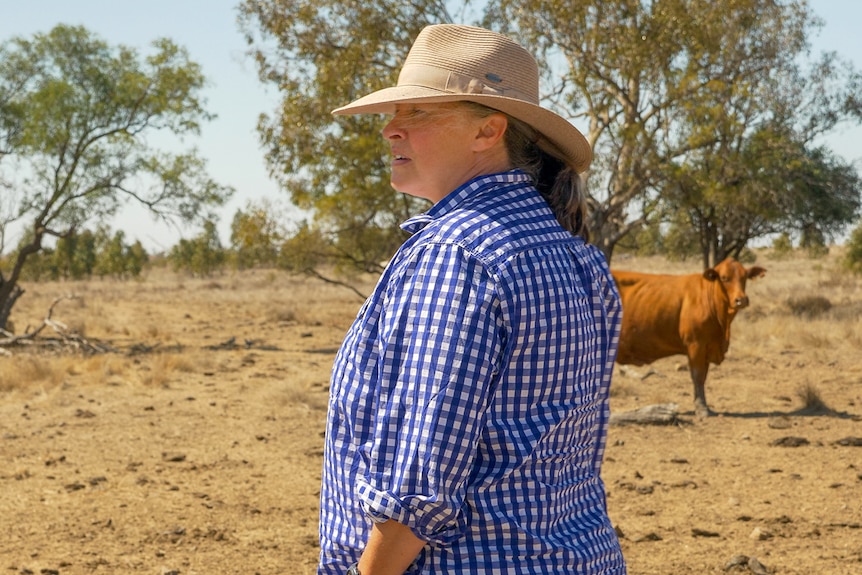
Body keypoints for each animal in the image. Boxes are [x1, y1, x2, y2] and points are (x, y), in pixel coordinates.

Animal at [616, 258, 768, 416]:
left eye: (744, 277)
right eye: (724, 278)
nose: (741, 300)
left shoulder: (707, 346)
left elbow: (703, 376)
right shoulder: (696, 344)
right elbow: (698, 376)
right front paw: (701, 408)